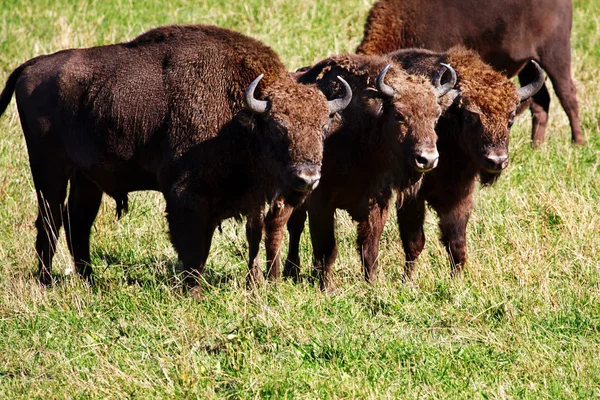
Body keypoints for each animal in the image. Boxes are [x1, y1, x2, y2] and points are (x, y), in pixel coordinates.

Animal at [0, 25, 354, 286]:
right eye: (278, 128)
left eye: (324, 127)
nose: (307, 178)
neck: (241, 117)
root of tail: (31, 66)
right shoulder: (187, 195)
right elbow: (194, 246)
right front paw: (192, 288)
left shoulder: (251, 200)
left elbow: (251, 239)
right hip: (49, 171)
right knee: (50, 220)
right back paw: (47, 281)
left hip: (86, 179)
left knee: (78, 223)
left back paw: (90, 280)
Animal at [354, 0, 584, 147]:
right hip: (529, 64)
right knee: (540, 101)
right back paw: (535, 145)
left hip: (555, 54)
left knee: (567, 94)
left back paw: (578, 143)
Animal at [392, 47, 548, 278]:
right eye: (470, 117)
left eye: (510, 119)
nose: (497, 160)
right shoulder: (412, 198)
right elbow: (414, 242)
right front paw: (407, 279)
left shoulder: (460, 196)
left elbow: (456, 242)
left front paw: (457, 278)